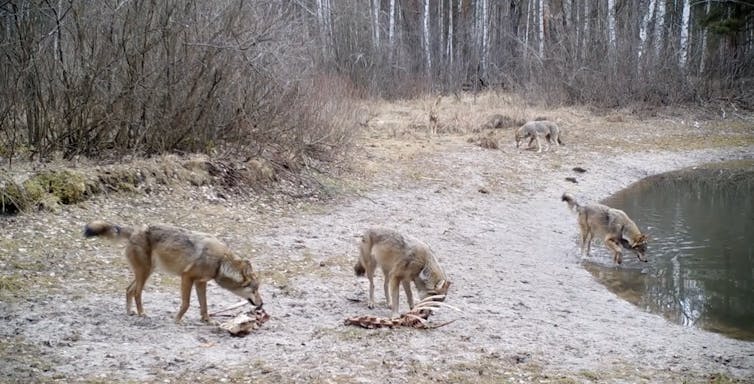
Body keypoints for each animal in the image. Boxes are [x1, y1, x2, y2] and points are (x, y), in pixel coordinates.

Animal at [83, 220, 262, 322]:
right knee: (136, 293)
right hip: (144, 273)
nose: (262, 304)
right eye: (254, 290)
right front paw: (177, 320)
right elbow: (186, 304)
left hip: (146, 272)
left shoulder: (200, 283)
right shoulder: (187, 277)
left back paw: (130, 312)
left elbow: (204, 306)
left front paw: (207, 321)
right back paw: (142, 314)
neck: (221, 262)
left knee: (128, 290)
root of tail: (135, 230)